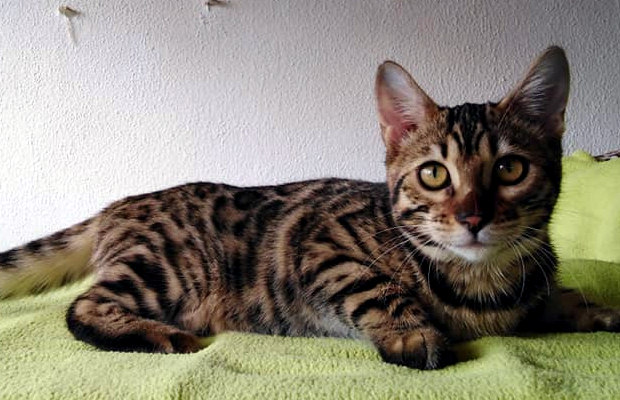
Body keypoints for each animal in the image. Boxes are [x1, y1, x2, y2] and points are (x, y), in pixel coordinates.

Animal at [1, 46, 618, 370]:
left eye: (511, 169)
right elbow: (376, 287)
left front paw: (589, 308)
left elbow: (551, 299)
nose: (472, 218)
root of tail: (117, 204)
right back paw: (158, 335)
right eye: (434, 174)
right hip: (167, 268)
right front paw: (412, 333)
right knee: (82, 308)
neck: (481, 285)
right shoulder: (321, 245)